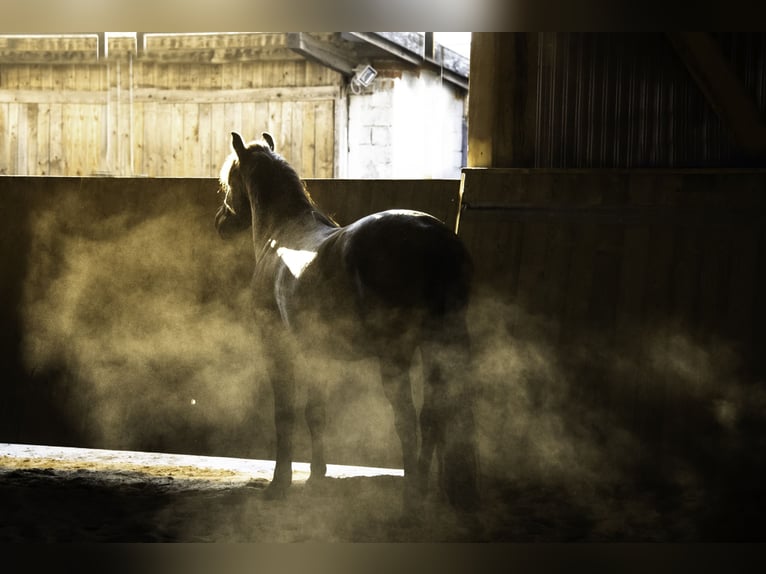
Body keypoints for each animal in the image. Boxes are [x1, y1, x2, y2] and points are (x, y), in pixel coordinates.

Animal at [215, 131, 480, 514]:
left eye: (228, 181)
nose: (220, 222)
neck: (282, 234)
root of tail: (434, 239)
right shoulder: (316, 352)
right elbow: (316, 412)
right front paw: (316, 478)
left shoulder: (277, 346)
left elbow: (285, 413)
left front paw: (279, 484)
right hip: (438, 346)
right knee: (432, 415)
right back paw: (425, 490)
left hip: (396, 355)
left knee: (407, 421)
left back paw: (410, 498)